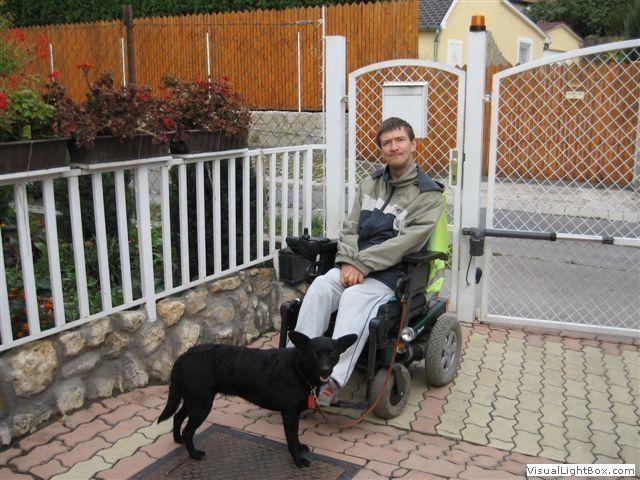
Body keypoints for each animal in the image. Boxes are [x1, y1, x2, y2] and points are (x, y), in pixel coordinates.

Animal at [157, 331, 357, 467]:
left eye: (333, 355)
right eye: (314, 354)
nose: (325, 370)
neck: (298, 369)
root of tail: (184, 356)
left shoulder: (294, 415)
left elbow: (296, 438)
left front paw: (300, 448)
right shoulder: (289, 414)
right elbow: (291, 439)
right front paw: (298, 460)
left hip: (193, 399)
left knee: (177, 417)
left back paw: (178, 440)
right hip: (201, 404)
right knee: (188, 431)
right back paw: (194, 454)